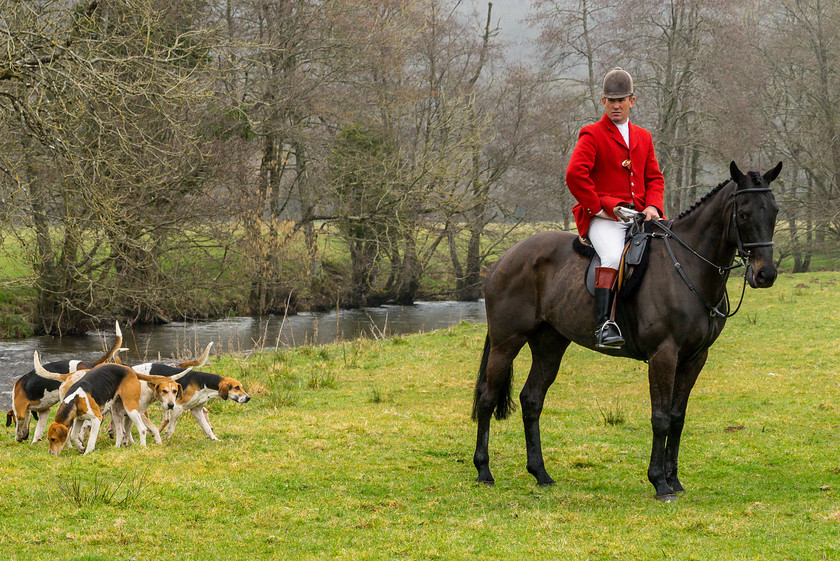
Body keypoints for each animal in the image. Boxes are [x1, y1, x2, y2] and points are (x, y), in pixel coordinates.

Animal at [472, 160, 780, 500]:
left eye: (774, 211)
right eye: (744, 214)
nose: (765, 274)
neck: (687, 265)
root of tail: (505, 257)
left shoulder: (695, 358)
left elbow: (677, 417)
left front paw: (674, 479)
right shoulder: (664, 354)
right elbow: (660, 417)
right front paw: (660, 482)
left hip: (550, 344)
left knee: (532, 399)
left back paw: (541, 473)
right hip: (506, 342)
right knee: (487, 397)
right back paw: (484, 471)